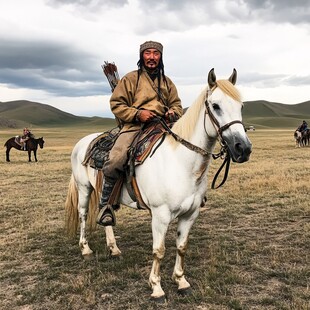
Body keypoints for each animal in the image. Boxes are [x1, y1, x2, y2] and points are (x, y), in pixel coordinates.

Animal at [65, 68, 252, 302]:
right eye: (216, 106)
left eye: (241, 106)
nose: (243, 148)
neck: (181, 163)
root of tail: (84, 142)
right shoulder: (160, 215)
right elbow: (159, 250)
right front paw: (156, 288)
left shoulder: (190, 214)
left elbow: (181, 246)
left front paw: (181, 281)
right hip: (84, 188)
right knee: (82, 214)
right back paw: (85, 249)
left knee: (105, 214)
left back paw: (114, 249)